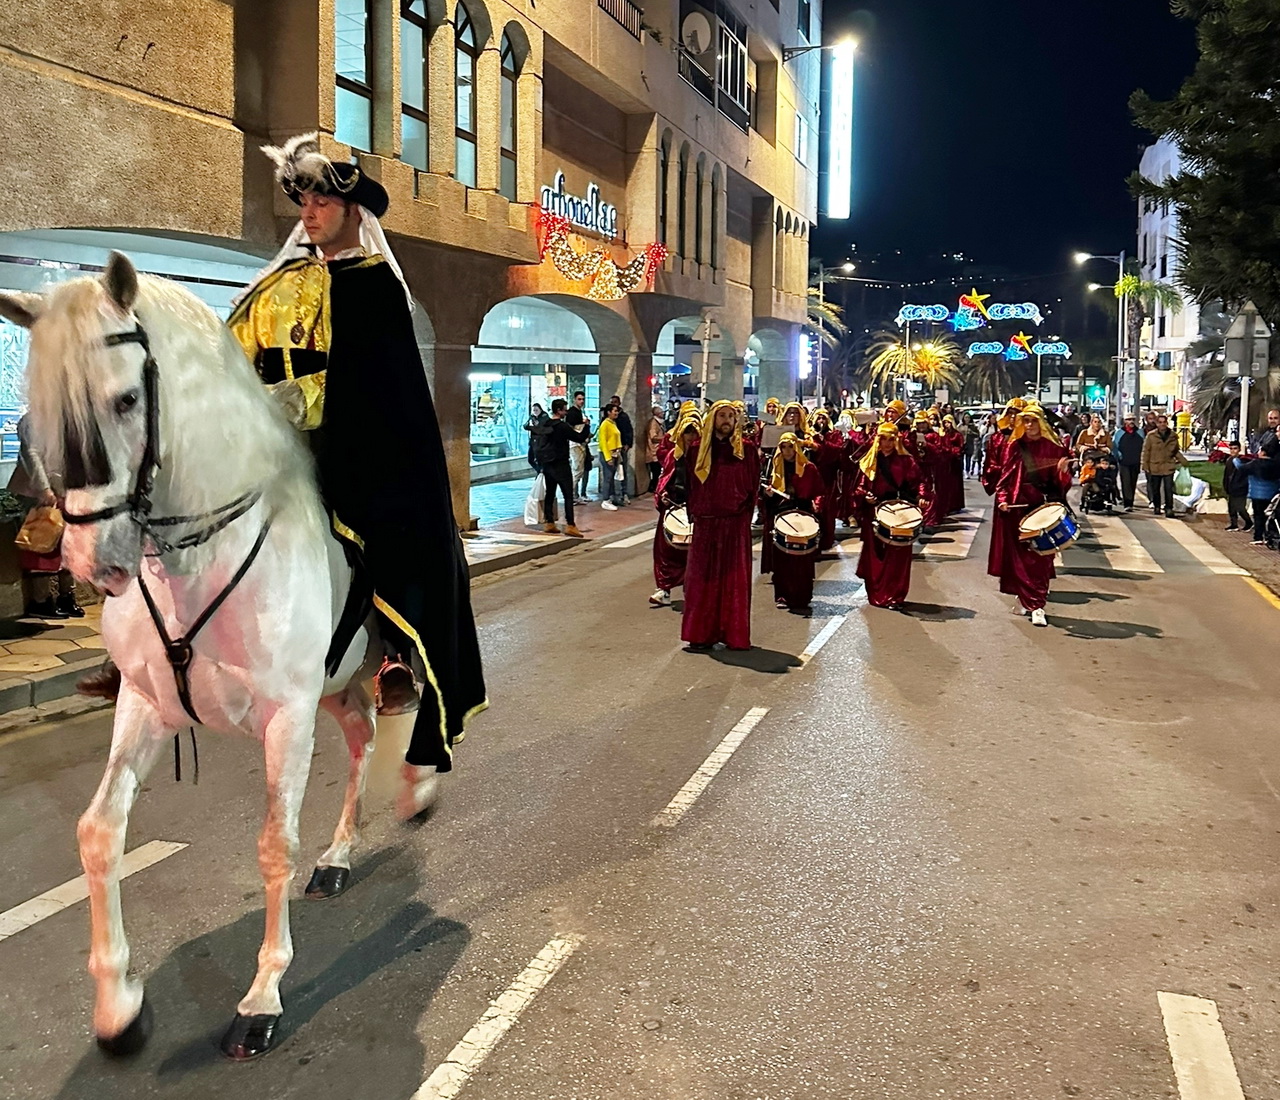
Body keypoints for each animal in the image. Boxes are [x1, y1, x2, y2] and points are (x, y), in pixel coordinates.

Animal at [0, 253, 440, 1060]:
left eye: (126, 398)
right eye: (35, 415)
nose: (92, 563)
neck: (201, 554)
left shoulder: (286, 716)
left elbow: (273, 845)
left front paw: (262, 996)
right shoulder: (144, 704)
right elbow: (99, 832)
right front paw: (119, 1004)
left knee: (412, 705)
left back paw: (416, 789)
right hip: (335, 687)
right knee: (362, 735)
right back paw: (339, 856)